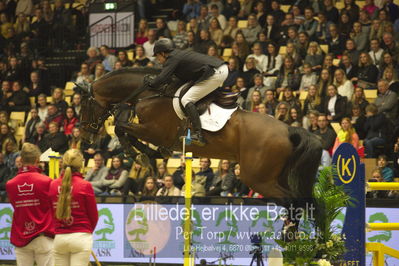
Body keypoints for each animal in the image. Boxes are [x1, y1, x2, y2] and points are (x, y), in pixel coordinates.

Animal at [79, 68, 324, 231]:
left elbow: (121, 128)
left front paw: (141, 155)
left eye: (84, 106)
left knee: (292, 200)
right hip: (276, 176)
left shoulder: (155, 131)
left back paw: (289, 234)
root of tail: (288, 130)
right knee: (301, 201)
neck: (148, 94)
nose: (84, 137)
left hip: (257, 178)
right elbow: (126, 131)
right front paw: (151, 155)